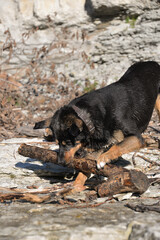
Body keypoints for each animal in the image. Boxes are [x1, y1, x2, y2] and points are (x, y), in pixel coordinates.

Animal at [34, 62, 160, 193]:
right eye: (57, 143)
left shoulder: (136, 138)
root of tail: (152, 63)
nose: (61, 163)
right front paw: (75, 187)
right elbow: (84, 172)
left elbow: (117, 146)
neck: (91, 116)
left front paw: (104, 158)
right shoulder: (95, 150)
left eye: (68, 143)